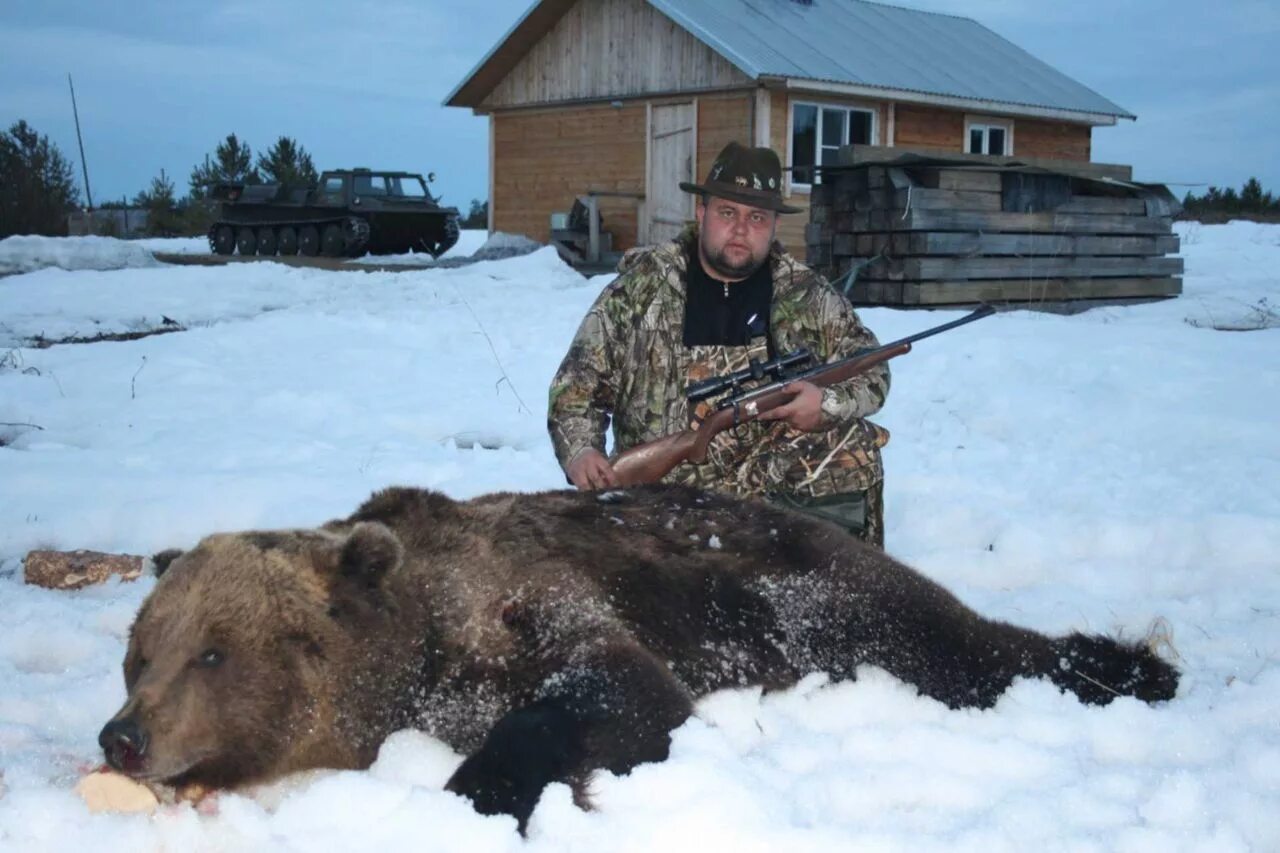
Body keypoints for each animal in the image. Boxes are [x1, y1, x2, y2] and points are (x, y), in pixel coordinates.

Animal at [99, 481, 1177, 824]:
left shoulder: (535, 601)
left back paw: (1130, 665)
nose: (123, 737)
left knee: (958, 646)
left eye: (213, 653)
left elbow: (619, 691)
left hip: (819, 594)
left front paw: (481, 790)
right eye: (138, 651)